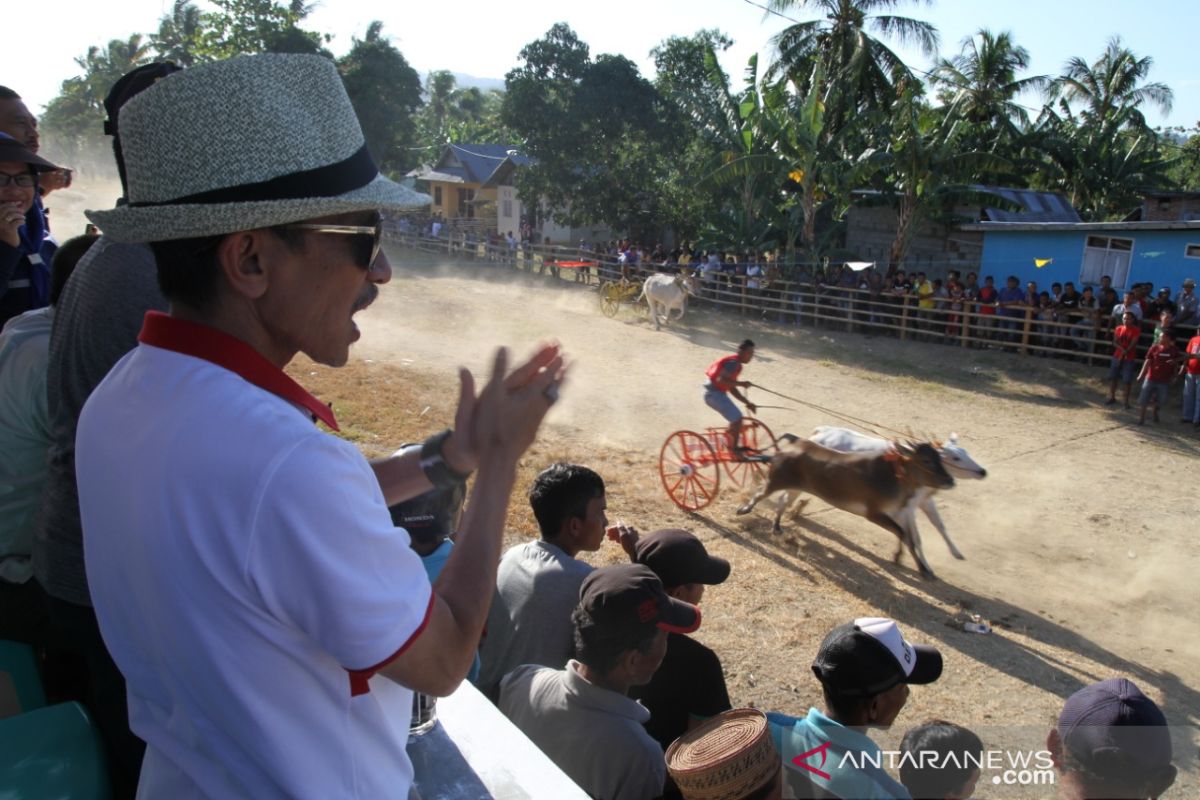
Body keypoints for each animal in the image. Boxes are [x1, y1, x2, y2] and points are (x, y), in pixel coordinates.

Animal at [734, 441, 950, 578]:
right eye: (926, 460)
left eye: (940, 458)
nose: (949, 480)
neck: (895, 477)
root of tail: (783, 450)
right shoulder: (874, 514)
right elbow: (902, 534)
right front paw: (903, 559)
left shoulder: (900, 512)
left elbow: (909, 537)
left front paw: (920, 568)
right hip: (775, 480)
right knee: (761, 493)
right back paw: (743, 509)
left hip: (795, 487)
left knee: (782, 501)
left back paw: (777, 526)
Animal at [806, 424, 984, 563]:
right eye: (956, 458)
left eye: (965, 452)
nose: (983, 471)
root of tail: (820, 431)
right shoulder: (907, 508)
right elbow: (915, 537)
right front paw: (922, 563)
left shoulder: (925, 501)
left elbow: (939, 525)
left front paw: (956, 553)